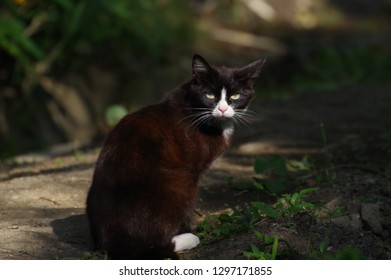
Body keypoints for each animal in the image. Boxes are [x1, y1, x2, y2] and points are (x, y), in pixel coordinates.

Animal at [87, 53, 264, 260]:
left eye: (235, 96)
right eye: (210, 95)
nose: (222, 109)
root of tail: (111, 240)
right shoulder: (193, 169)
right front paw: (190, 229)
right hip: (180, 182)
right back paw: (186, 239)